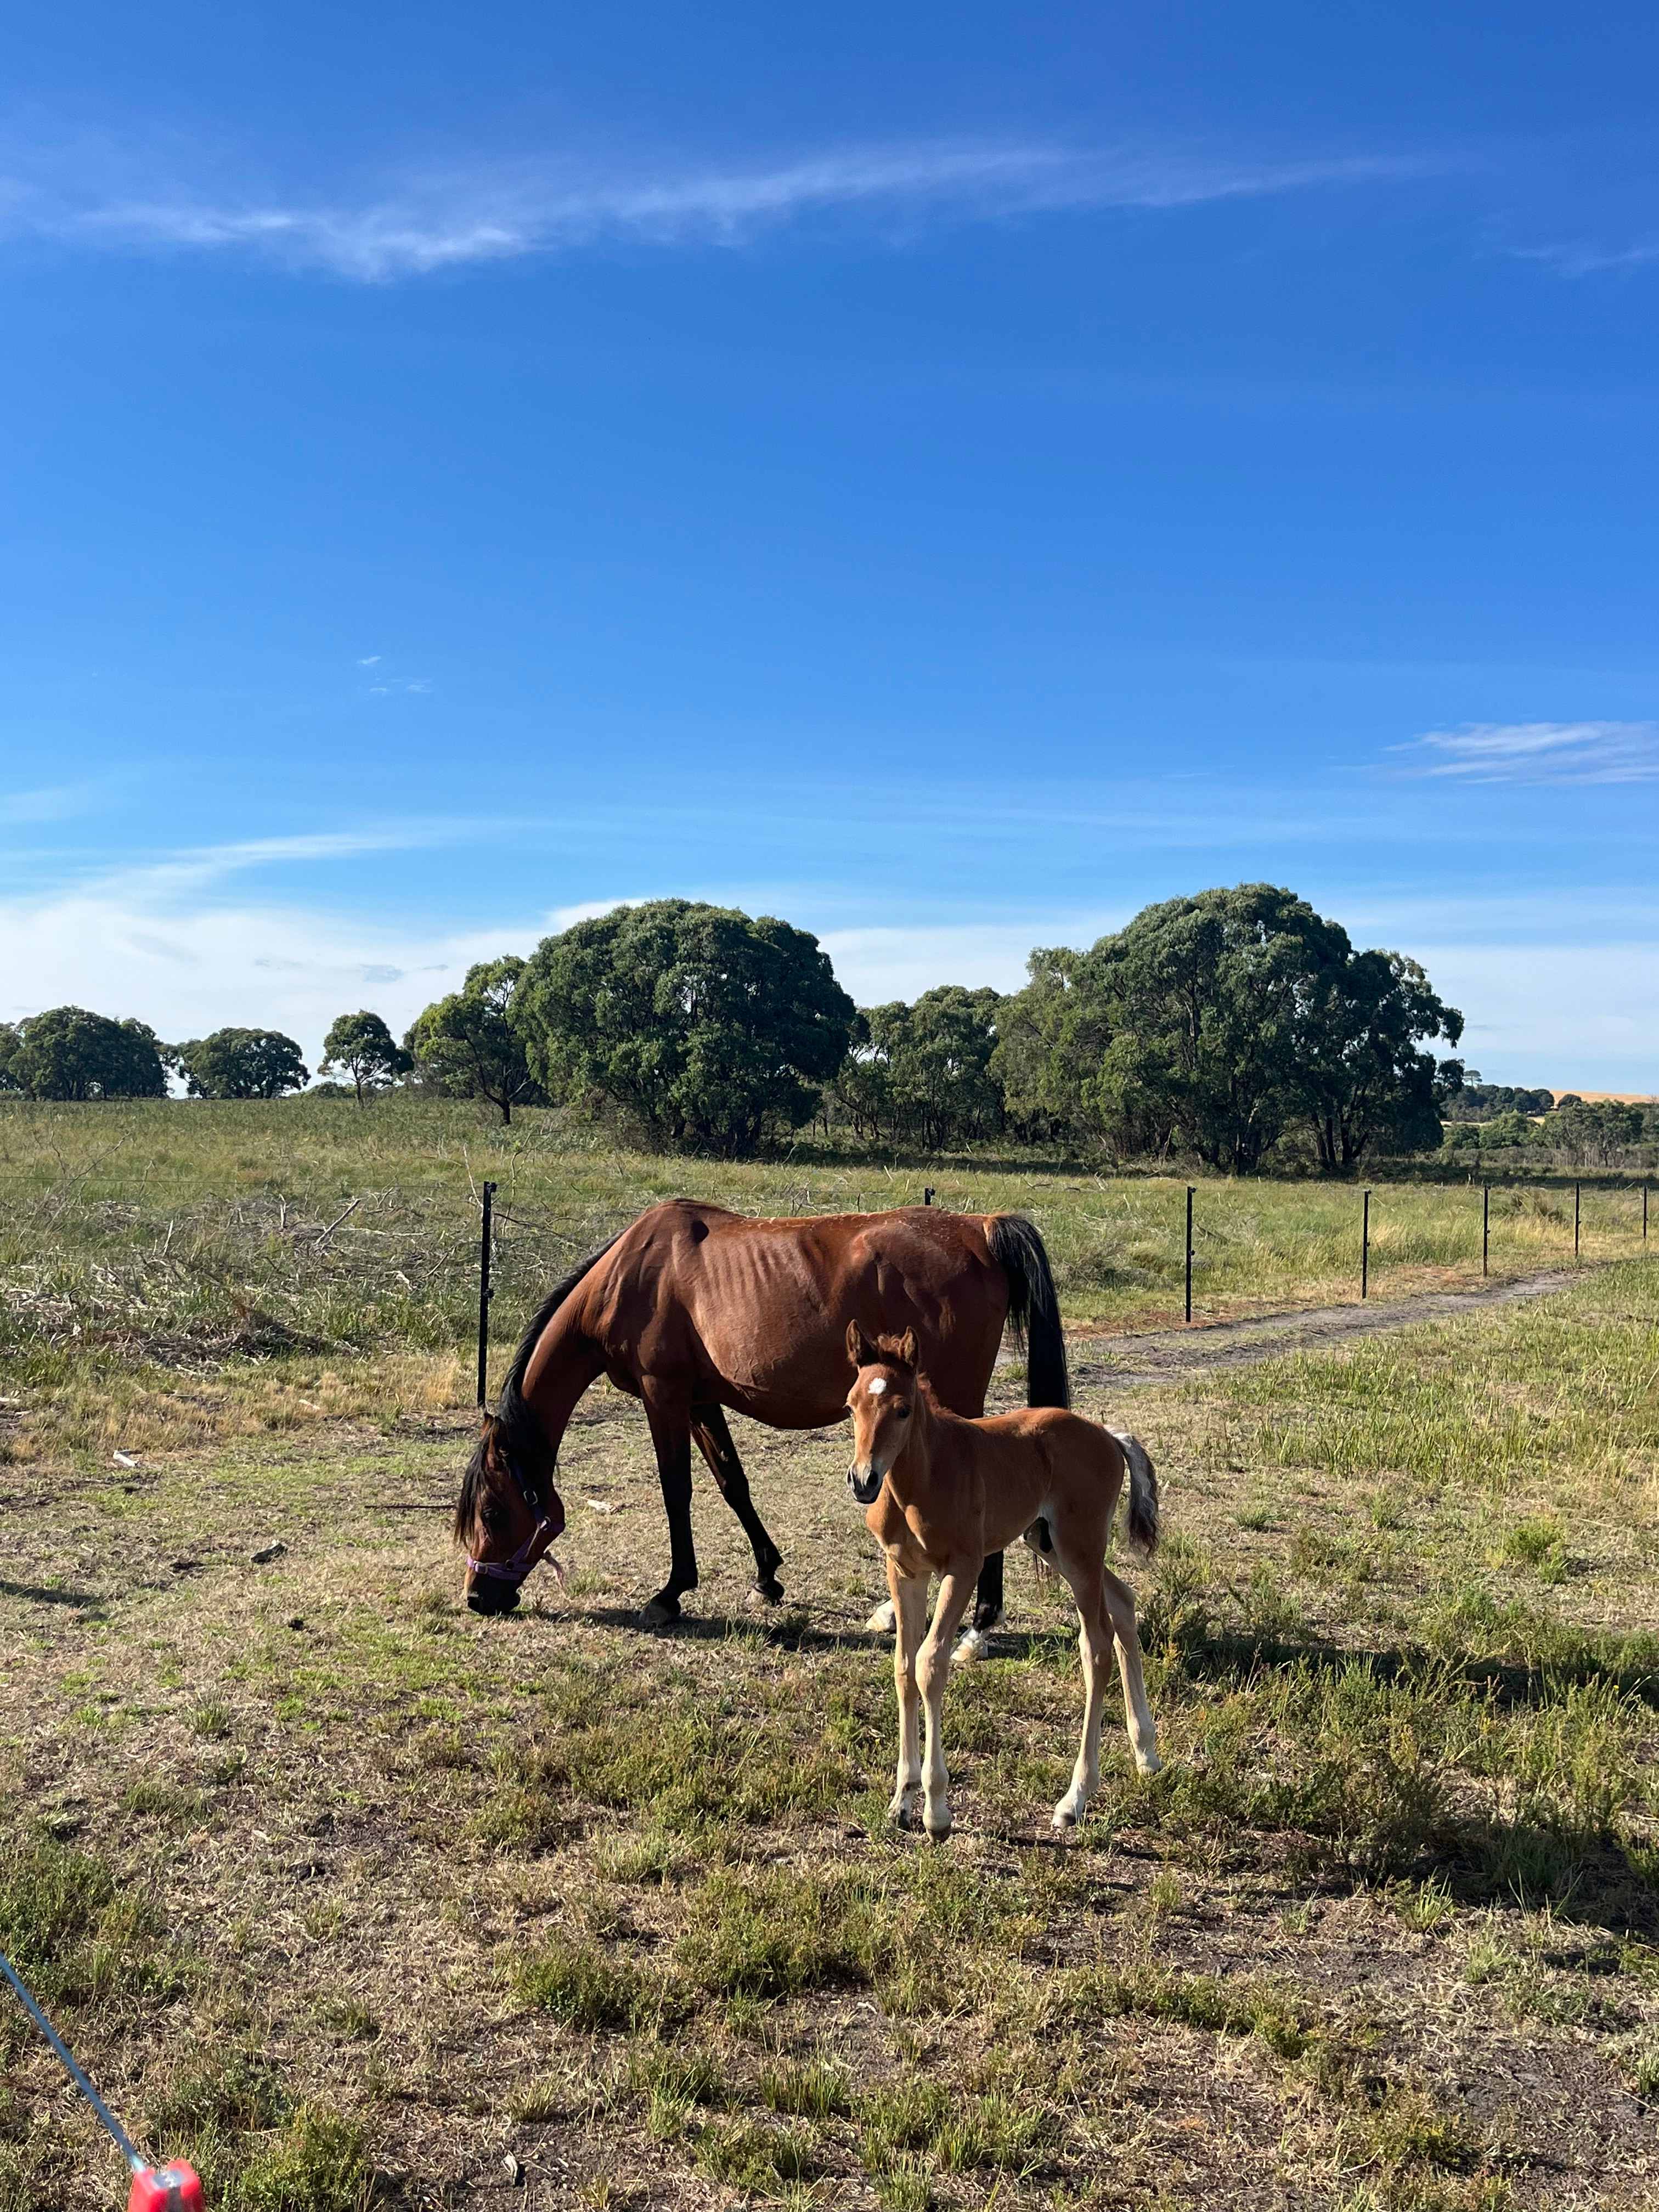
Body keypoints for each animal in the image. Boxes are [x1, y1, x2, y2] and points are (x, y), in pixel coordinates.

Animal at [455, 1198, 1070, 1629]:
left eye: (492, 1512)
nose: (478, 1598)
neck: (633, 1275)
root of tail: (981, 1228)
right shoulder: (701, 1401)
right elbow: (733, 1484)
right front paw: (767, 1578)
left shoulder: (663, 1396)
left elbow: (676, 1491)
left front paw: (670, 1595)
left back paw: (980, 1623)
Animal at [846, 1321, 1160, 1838]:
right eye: (851, 1405)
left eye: (903, 1409)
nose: (863, 1480)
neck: (923, 1476)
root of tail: (1108, 1436)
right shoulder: (904, 1571)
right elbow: (904, 1668)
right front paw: (901, 1801)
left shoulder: (963, 1567)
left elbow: (931, 1664)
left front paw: (937, 1810)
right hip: (1051, 1544)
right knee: (1124, 1603)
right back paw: (1147, 1754)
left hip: (1080, 1549)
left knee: (1095, 1646)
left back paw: (1075, 1799)